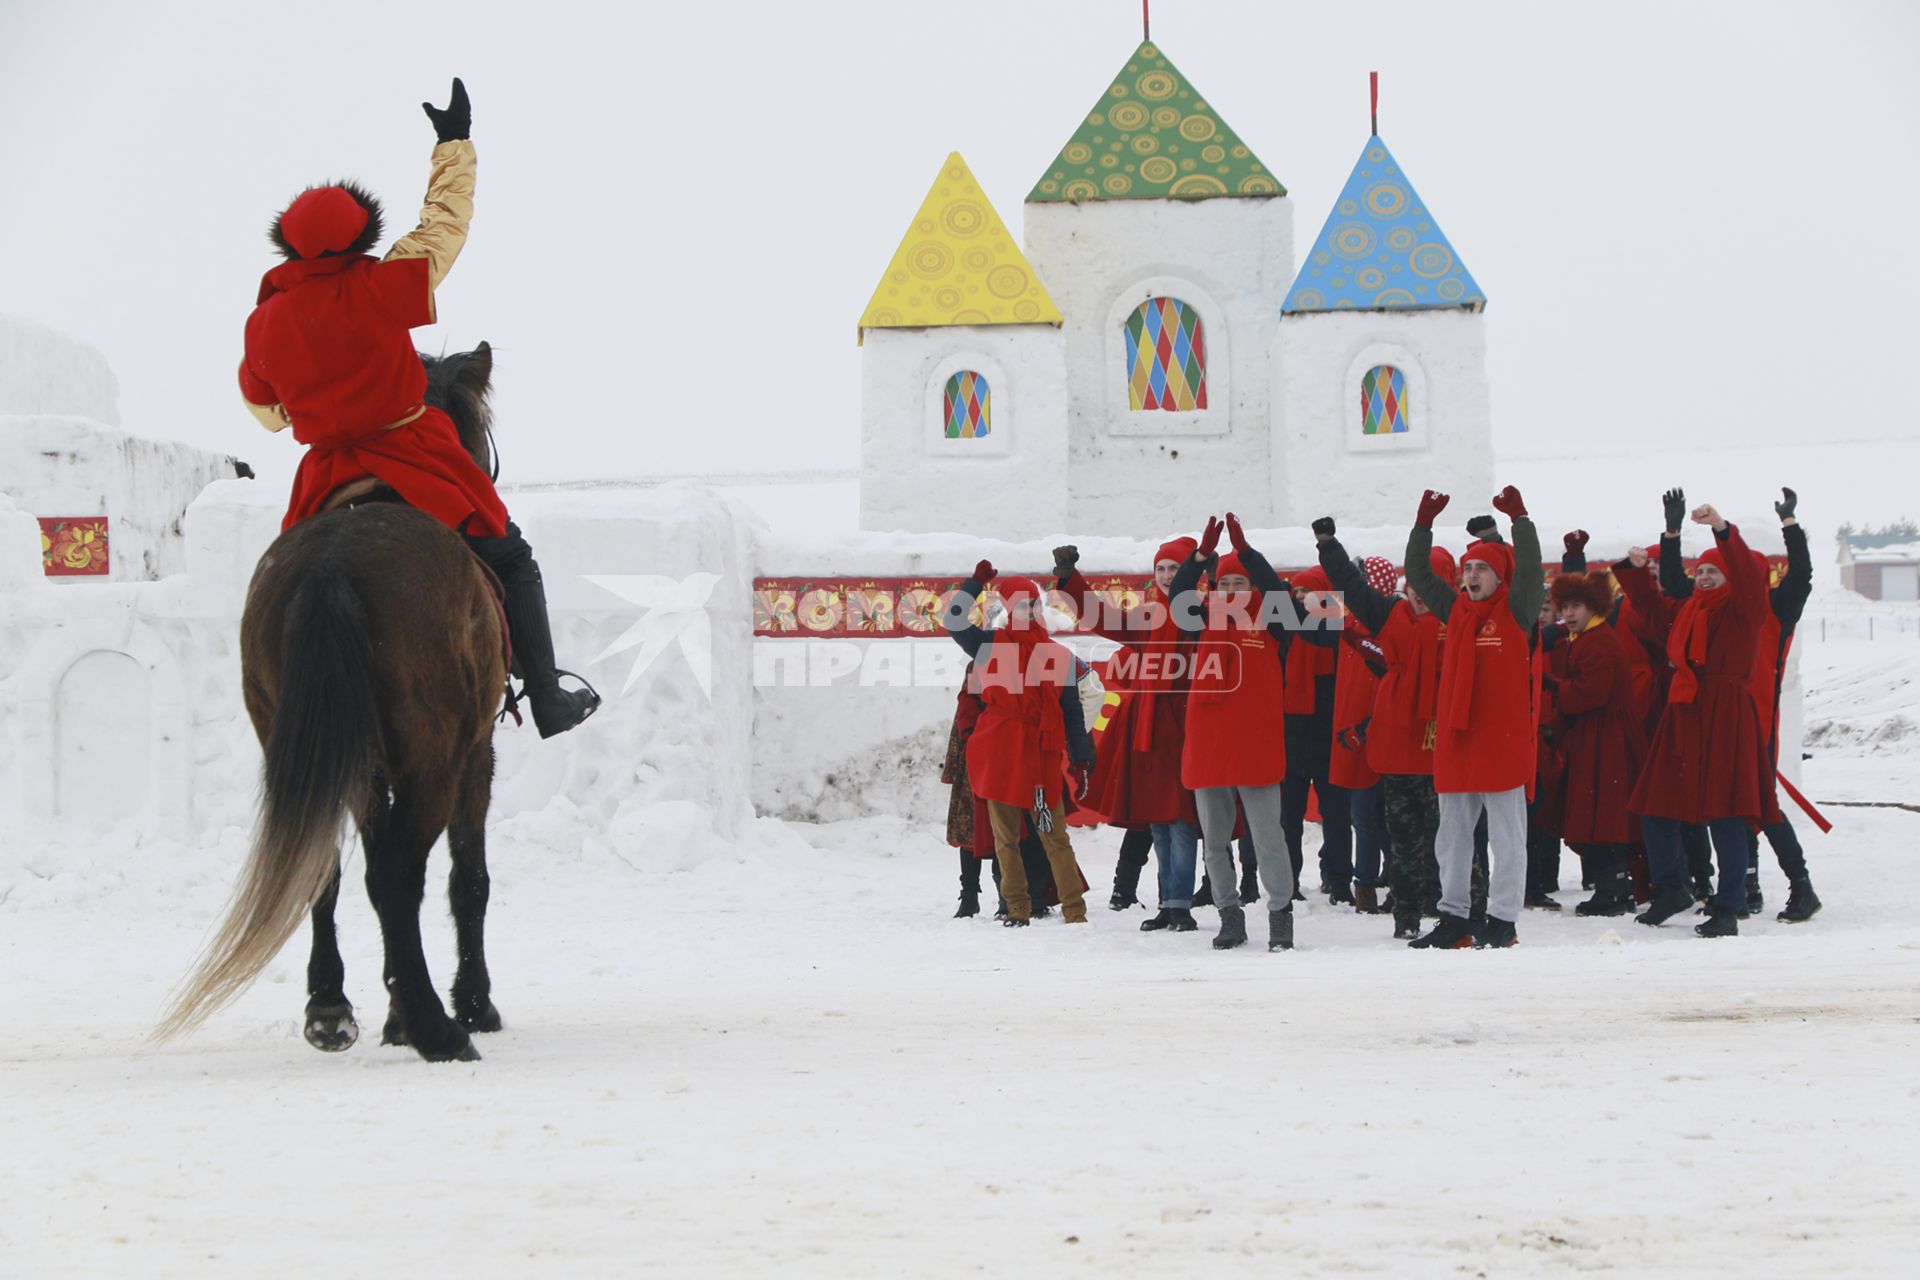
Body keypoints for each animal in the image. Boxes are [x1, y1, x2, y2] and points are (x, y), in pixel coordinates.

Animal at [154, 345, 510, 1066]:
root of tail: (332, 566)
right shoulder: (475, 754)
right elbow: (466, 880)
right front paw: (470, 1002)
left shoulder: (365, 767)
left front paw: (391, 1007)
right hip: (433, 760)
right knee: (399, 877)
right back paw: (438, 1028)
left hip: (306, 744)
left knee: (323, 863)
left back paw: (331, 1007)